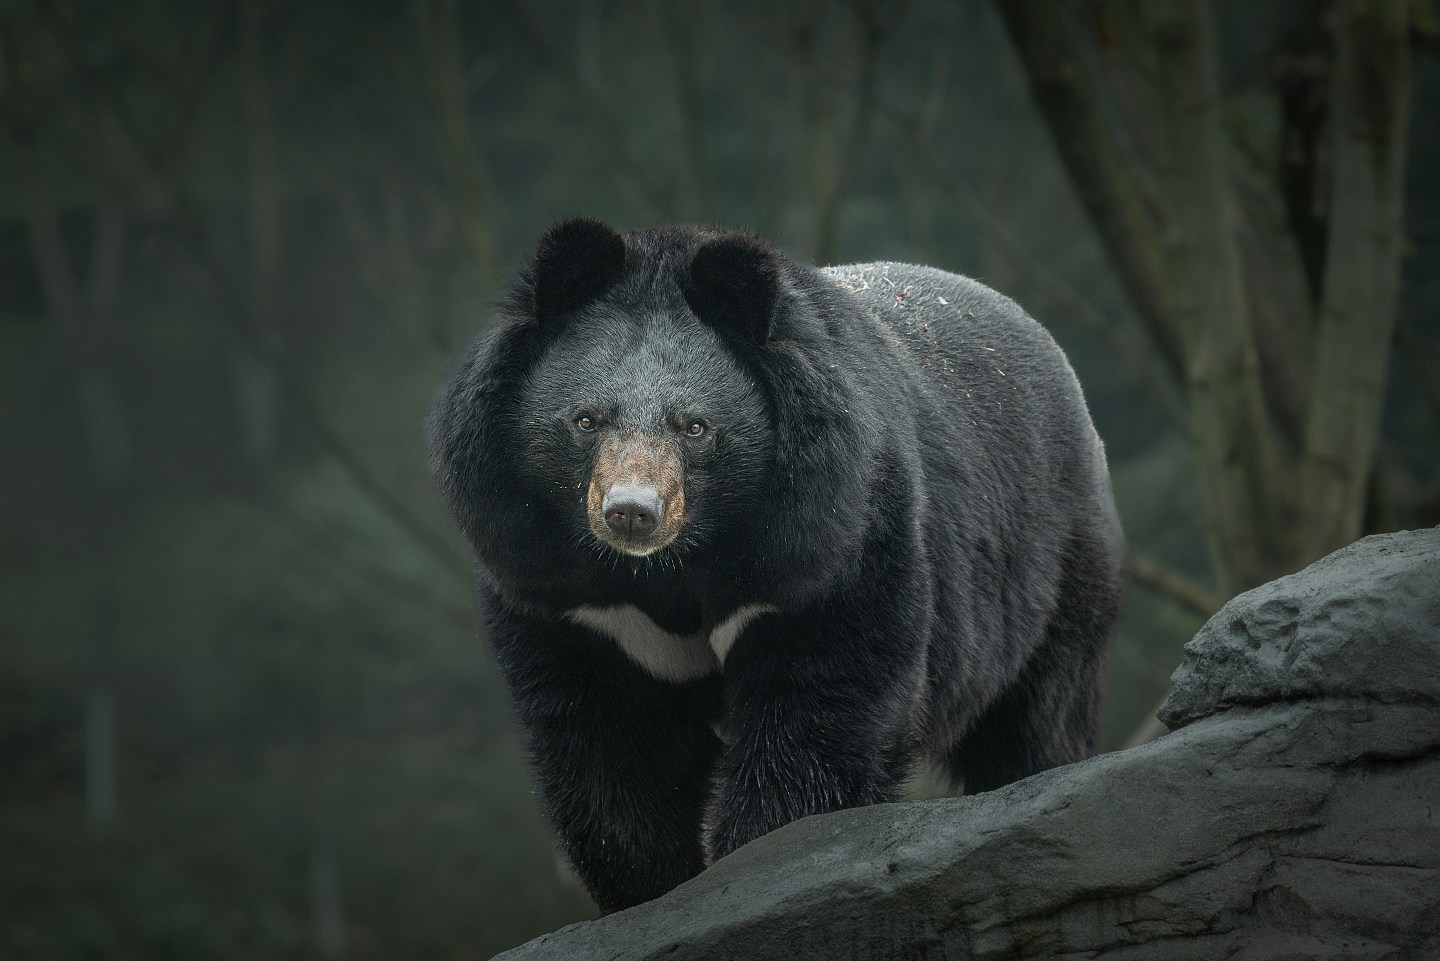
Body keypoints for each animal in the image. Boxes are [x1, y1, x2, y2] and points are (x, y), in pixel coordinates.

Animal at [426, 220, 1123, 916]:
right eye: (587, 420)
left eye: (695, 426)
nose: (632, 513)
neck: (671, 567)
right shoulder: (565, 594)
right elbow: (611, 744)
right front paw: (651, 891)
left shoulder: (834, 540)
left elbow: (823, 697)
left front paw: (762, 864)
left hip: (1054, 563)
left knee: (1038, 714)